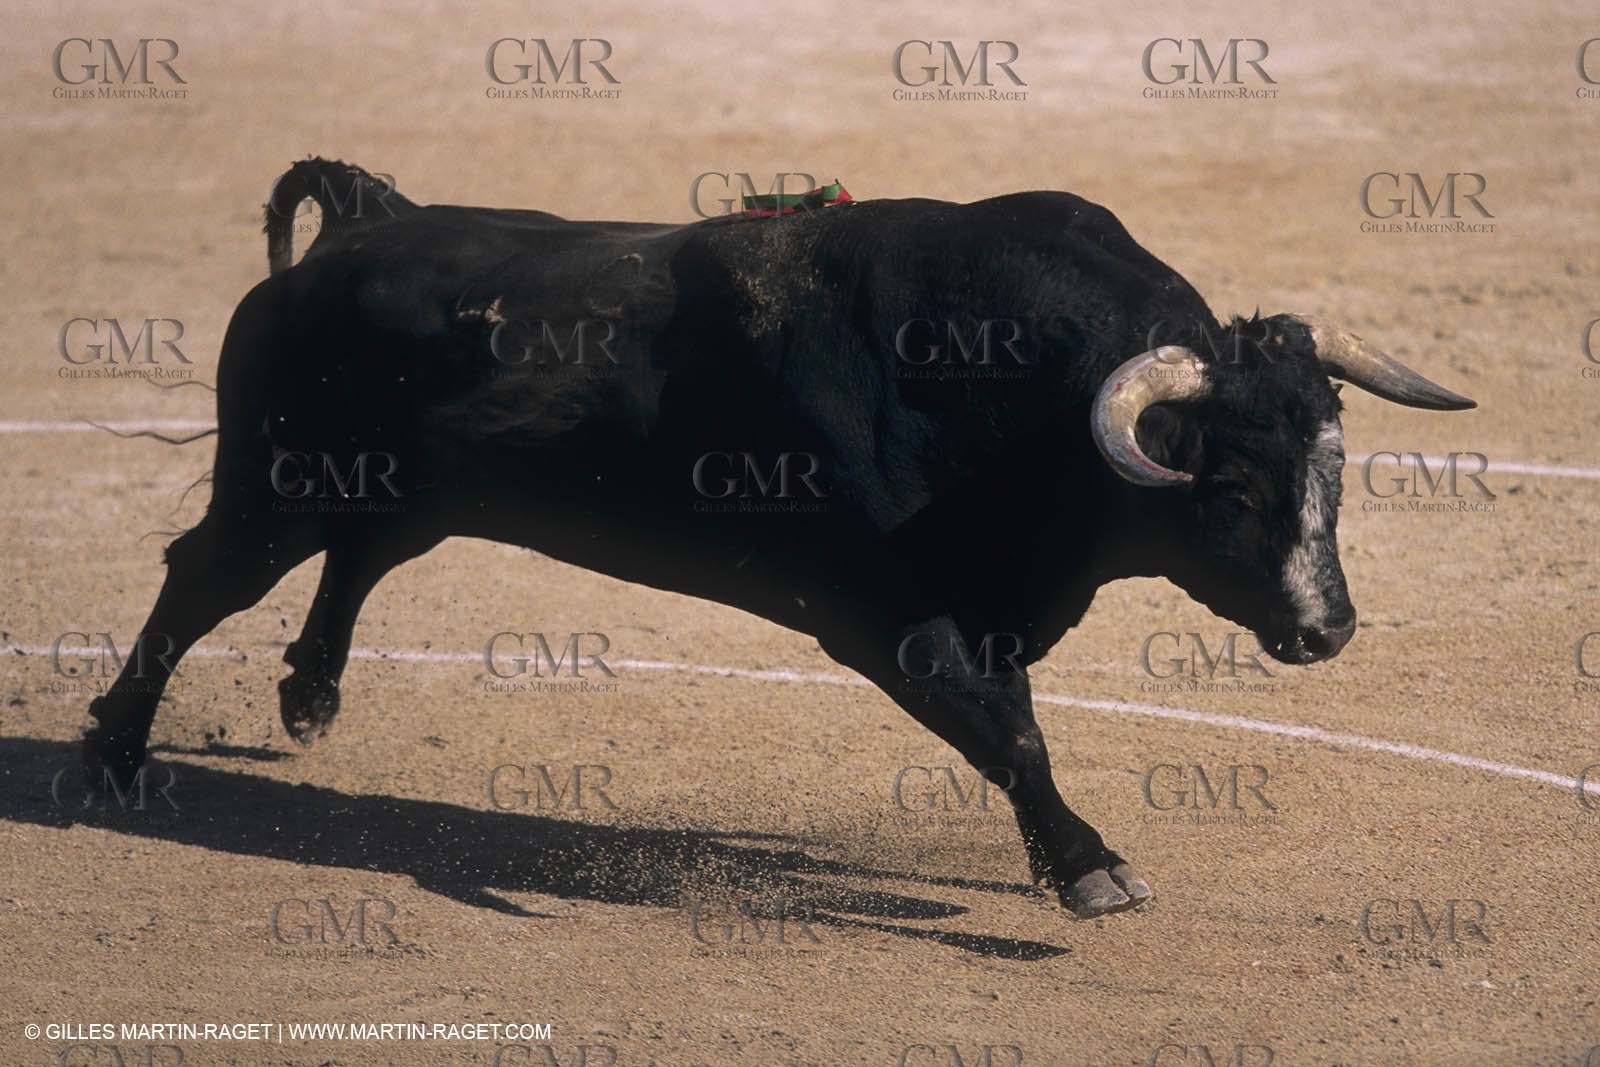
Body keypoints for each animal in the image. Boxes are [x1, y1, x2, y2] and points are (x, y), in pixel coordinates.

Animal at [83, 158, 1475, 919]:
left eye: (1333, 461)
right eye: (1229, 486)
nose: (1326, 626)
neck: (994, 381)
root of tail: (368, 219)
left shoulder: (986, 606)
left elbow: (1009, 722)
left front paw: (1055, 859)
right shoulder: (887, 617)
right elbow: (1007, 731)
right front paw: (1087, 867)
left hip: (401, 490)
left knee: (356, 557)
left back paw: (308, 696)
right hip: (272, 485)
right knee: (200, 579)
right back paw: (111, 756)